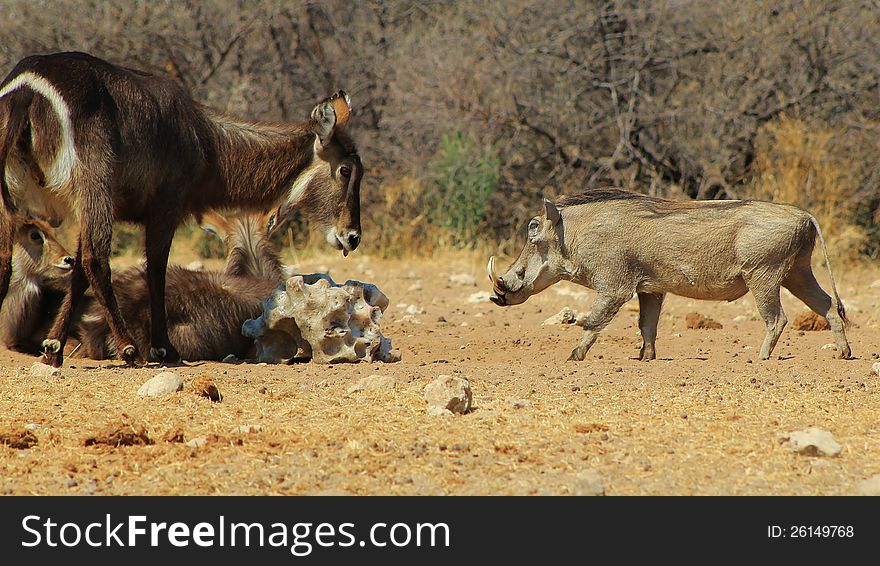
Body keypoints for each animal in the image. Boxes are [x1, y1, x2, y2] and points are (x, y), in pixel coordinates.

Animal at [0, 52, 362, 368]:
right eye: (346, 169)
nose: (352, 236)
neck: (204, 139)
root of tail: (28, 89)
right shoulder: (166, 207)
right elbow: (155, 270)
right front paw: (164, 349)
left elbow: (76, 277)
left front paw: (53, 347)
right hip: (93, 185)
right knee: (96, 260)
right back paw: (130, 349)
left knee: (11, 259)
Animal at [488, 189, 852, 362]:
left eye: (533, 232)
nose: (498, 294)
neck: (575, 236)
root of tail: (804, 214)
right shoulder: (650, 290)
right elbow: (647, 325)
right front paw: (644, 358)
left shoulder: (614, 287)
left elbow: (594, 321)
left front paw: (574, 356)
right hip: (797, 273)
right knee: (828, 305)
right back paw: (843, 353)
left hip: (763, 275)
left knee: (777, 318)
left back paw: (760, 358)